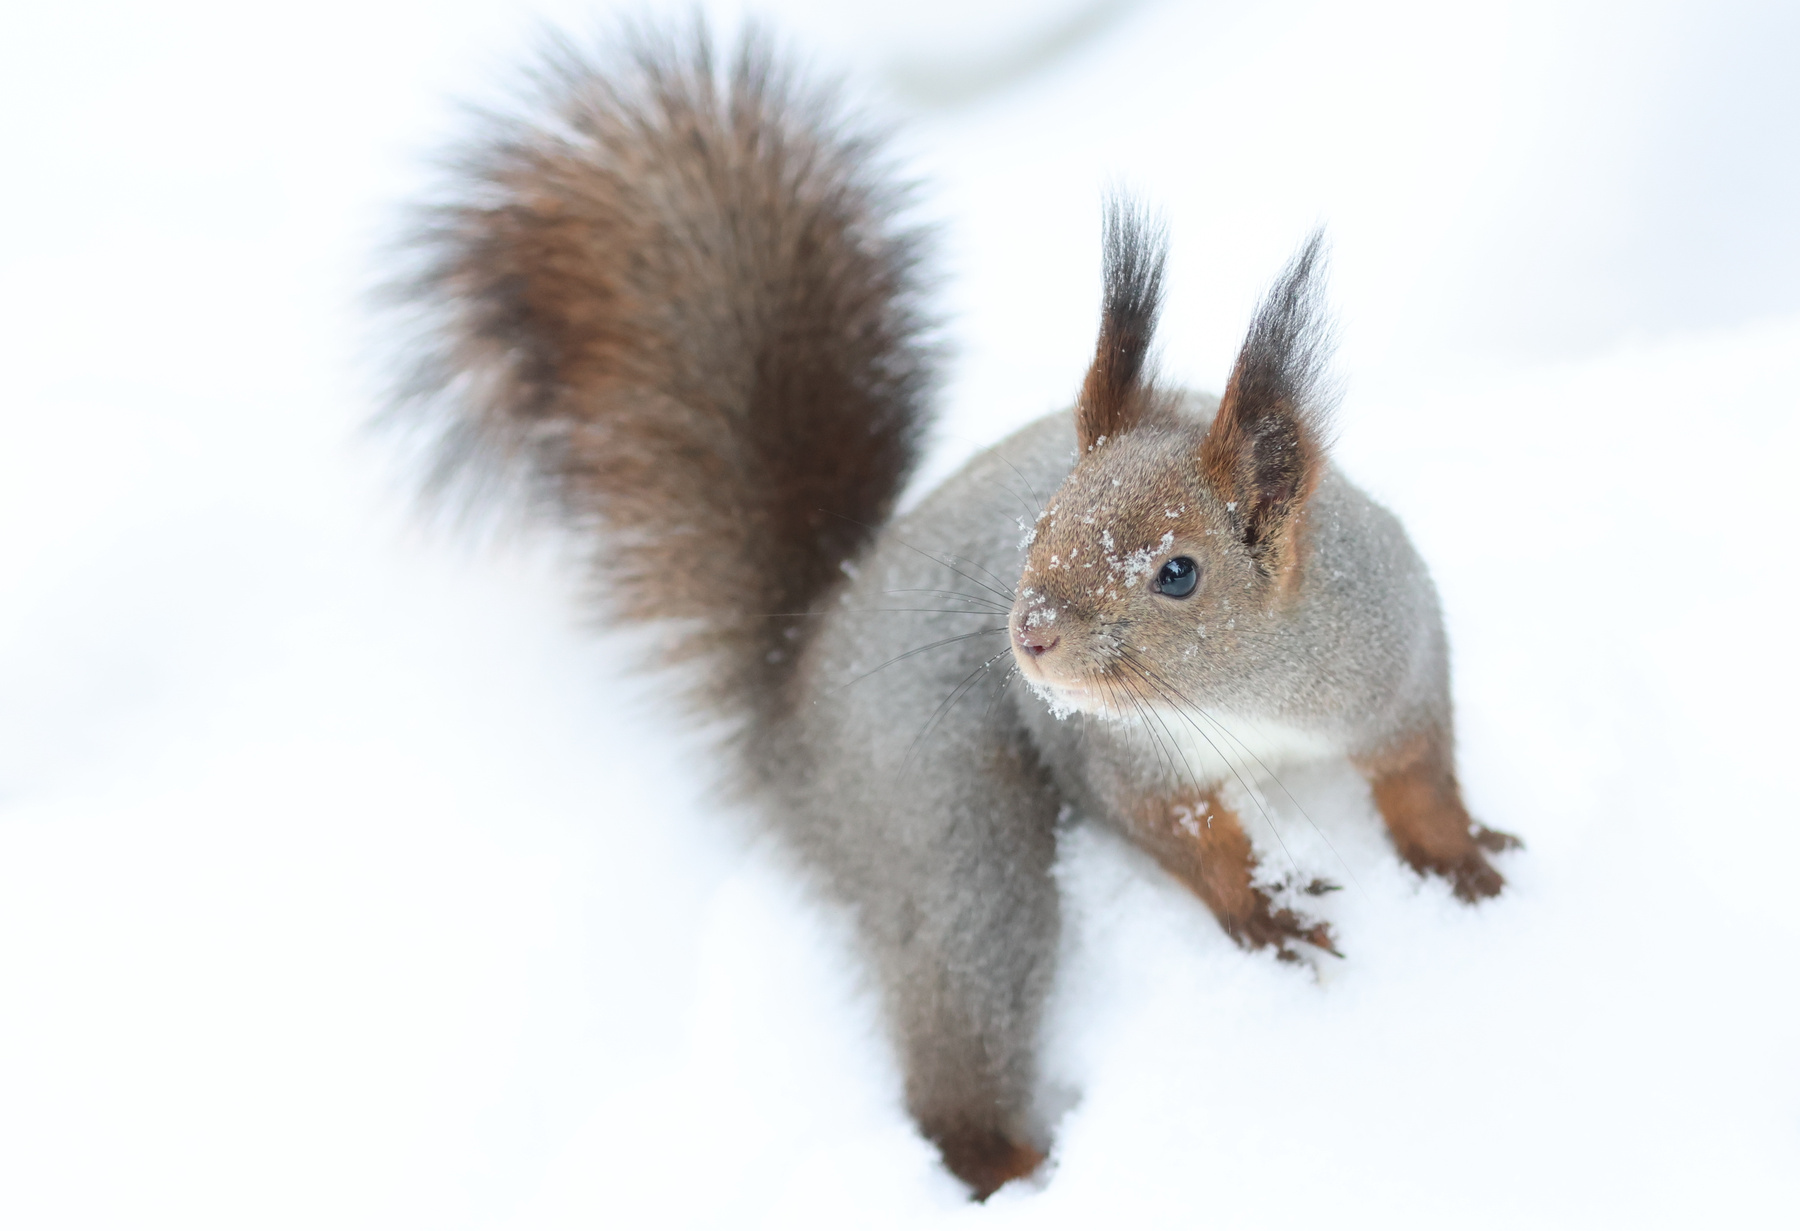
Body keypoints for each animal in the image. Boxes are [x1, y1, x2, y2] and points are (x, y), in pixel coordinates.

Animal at [389, 24, 1520, 1200]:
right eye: (1038, 524)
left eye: (1178, 572)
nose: (1031, 635)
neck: (1238, 696)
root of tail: (794, 718)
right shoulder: (1116, 759)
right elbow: (1183, 839)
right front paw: (1266, 913)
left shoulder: (1397, 652)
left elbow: (1420, 770)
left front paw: (1461, 862)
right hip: (945, 824)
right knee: (955, 1038)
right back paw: (1019, 1166)